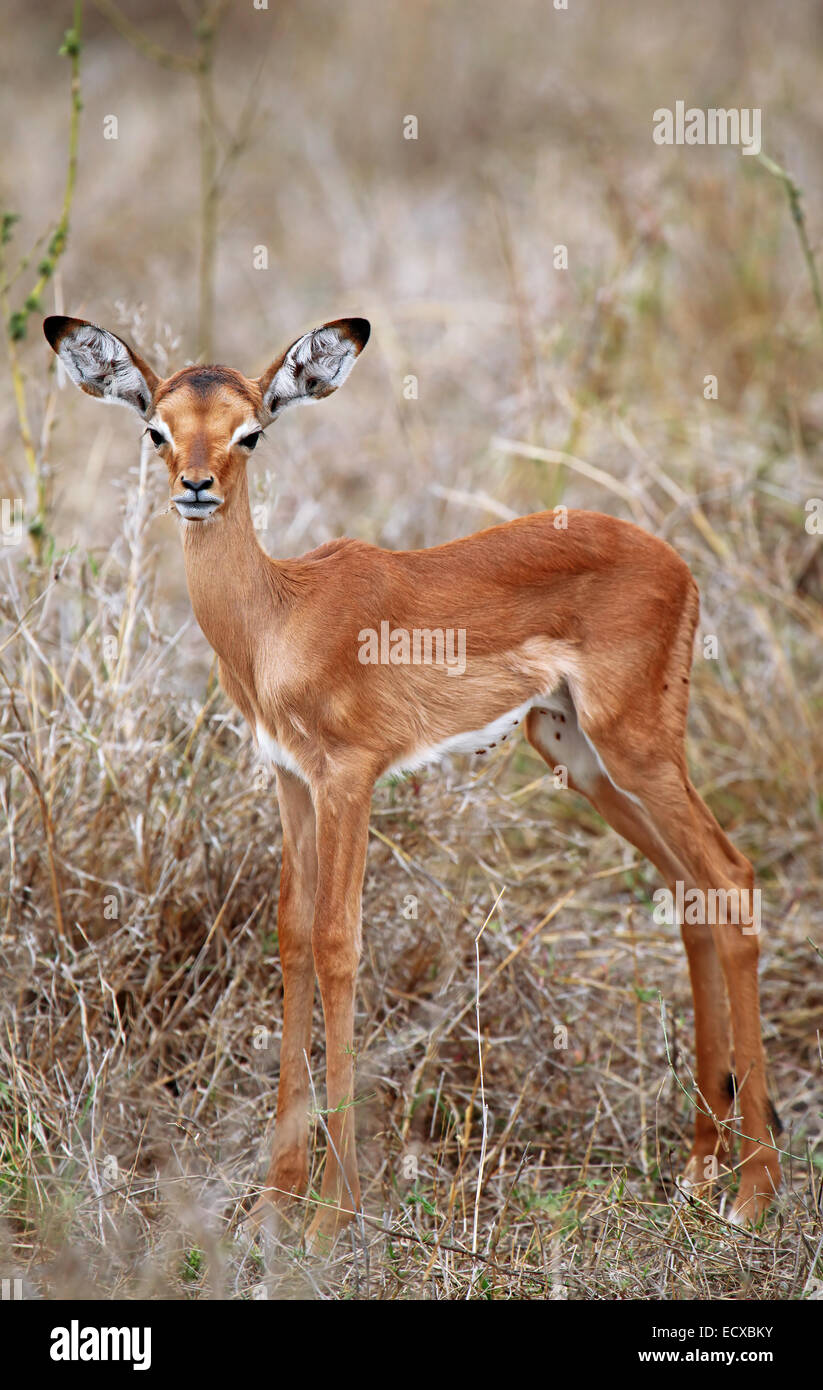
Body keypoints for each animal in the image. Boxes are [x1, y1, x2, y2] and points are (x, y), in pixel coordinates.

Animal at [44, 312, 781, 1243]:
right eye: (156, 429)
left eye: (251, 432)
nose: (196, 486)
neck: (277, 620)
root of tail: (678, 564)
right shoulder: (289, 780)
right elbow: (291, 937)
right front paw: (273, 1203)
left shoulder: (349, 778)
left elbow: (338, 944)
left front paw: (332, 1215)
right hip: (580, 757)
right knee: (691, 897)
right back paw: (696, 1168)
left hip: (637, 749)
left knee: (731, 878)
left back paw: (755, 1193)